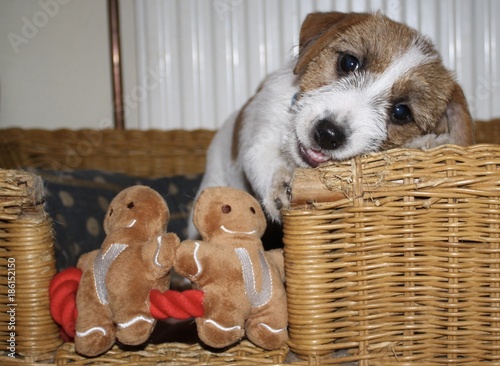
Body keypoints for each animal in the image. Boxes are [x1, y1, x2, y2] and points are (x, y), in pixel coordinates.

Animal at [187, 11, 472, 239]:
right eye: (348, 62)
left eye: (401, 112)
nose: (327, 134)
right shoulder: (260, 140)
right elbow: (267, 161)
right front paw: (282, 186)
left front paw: (428, 142)